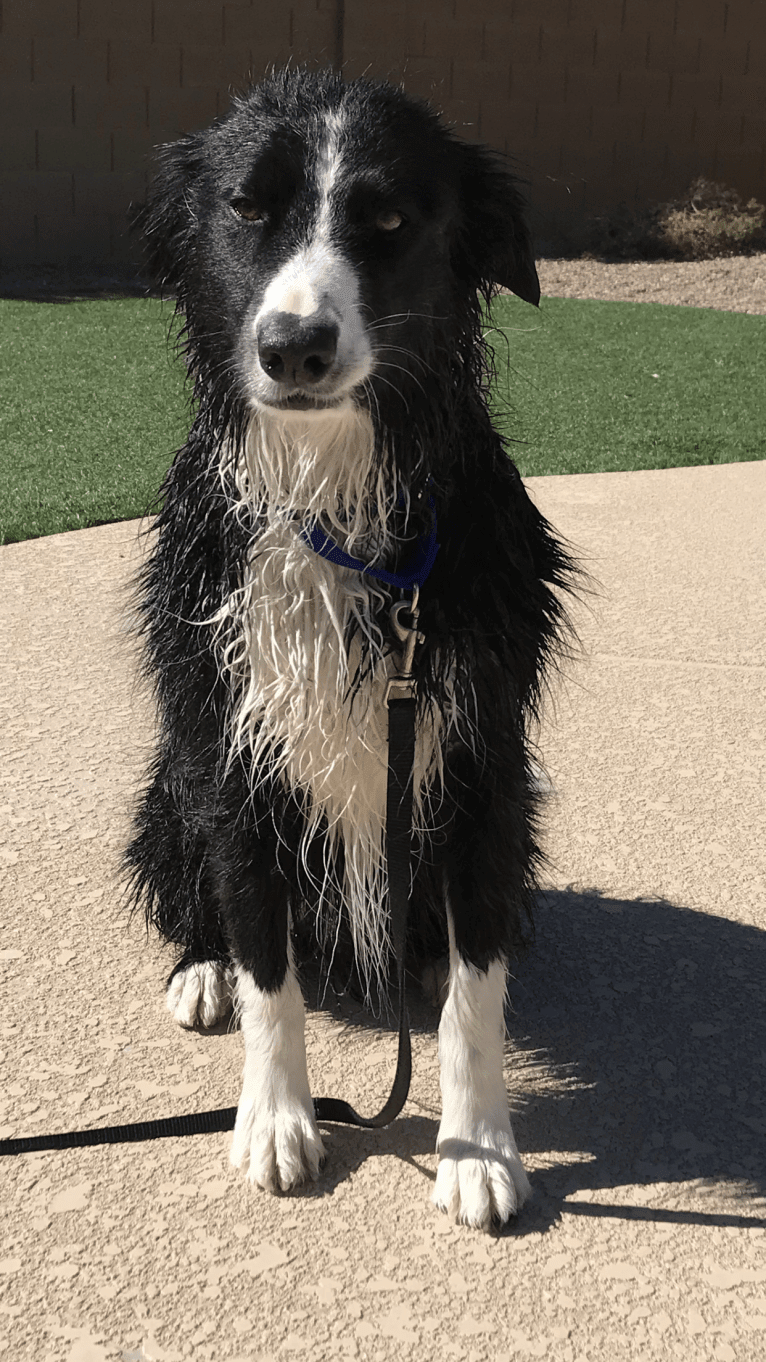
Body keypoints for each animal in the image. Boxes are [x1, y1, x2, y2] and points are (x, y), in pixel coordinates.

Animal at [125, 66, 569, 1236]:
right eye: (245, 208)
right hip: (168, 789)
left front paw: (478, 1148)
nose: (294, 348)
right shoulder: (231, 751)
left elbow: (476, 985)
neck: (335, 487)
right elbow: (268, 960)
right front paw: (278, 1119)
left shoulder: (480, 762)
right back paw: (200, 972)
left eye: (391, 221)